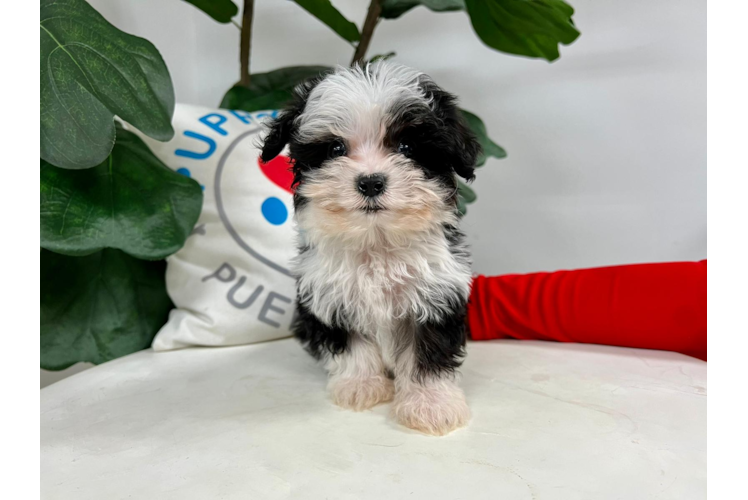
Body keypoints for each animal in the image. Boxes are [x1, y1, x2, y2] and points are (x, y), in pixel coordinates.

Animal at [258, 61, 480, 434]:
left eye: (406, 147)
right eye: (335, 149)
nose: (371, 182)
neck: (377, 242)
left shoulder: (435, 294)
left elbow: (428, 351)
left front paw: (431, 404)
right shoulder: (331, 297)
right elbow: (353, 346)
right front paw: (360, 385)